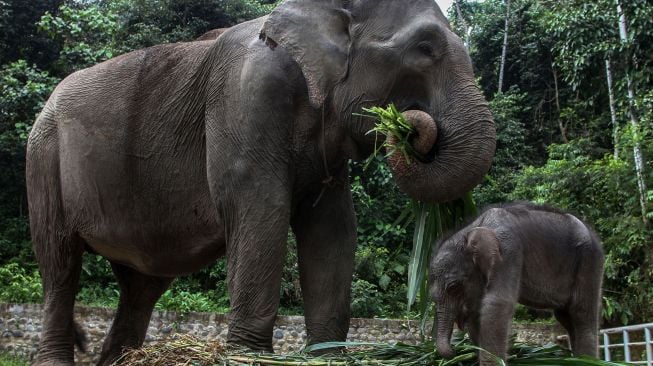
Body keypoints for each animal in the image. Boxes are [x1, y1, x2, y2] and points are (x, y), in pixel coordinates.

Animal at [25, 1, 494, 364]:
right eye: (425, 48)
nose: (406, 127)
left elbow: (332, 227)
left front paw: (325, 357)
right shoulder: (246, 95)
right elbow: (261, 208)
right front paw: (248, 356)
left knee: (141, 285)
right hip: (44, 159)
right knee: (60, 263)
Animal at [430, 202, 604, 364]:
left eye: (453, 287)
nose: (455, 351)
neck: (472, 228)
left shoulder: (508, 250)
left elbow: (497, 304)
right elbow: (477, 312)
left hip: (588, 260)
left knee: (580, 313)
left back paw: (587, 361)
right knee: (566, 317)